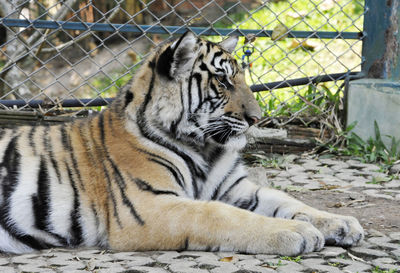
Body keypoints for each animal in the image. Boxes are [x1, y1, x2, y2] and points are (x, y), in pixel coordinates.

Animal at [0, 31, 364, 253]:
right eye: (222, 81)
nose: (257, 118)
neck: (204, 148)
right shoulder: (149, 206)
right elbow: (221, 216)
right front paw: (295, 233)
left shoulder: (236, 189)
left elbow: (289, 201)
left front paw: (341, 223)